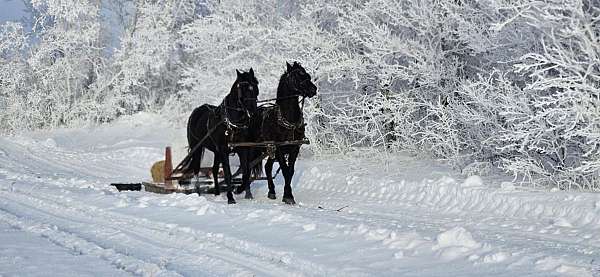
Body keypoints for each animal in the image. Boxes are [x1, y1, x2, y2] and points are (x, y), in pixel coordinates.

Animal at [244, 61, 318, 203]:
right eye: (295, 77)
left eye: (307, 75)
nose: (313, 89)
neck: (288, 119)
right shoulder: (279, 148)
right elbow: (284, 169)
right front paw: (288, 196)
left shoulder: (294, 148)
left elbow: (290, 171)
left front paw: (288, 194)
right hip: (253, 147)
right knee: (248, 166)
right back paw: (247, 192)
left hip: (269, 149)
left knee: (267, 167)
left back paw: (271, 191)